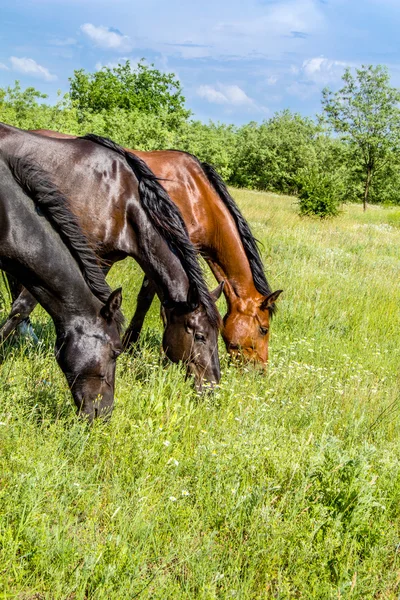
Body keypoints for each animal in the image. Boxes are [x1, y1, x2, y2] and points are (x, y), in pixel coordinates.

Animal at [0, 125, 222, 392]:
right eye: (200, 335)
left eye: (218, 334)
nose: (212, 386)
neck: (120, 200)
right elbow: (22, 306)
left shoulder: (100, 259)